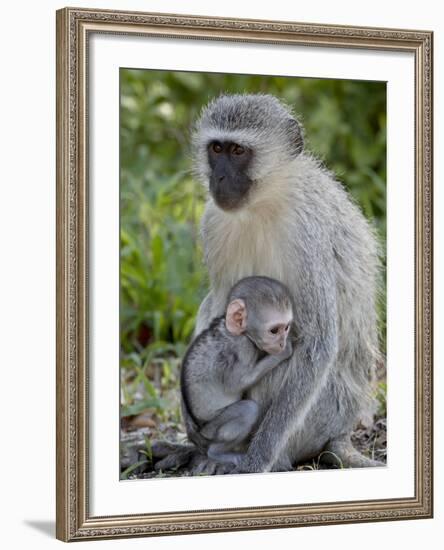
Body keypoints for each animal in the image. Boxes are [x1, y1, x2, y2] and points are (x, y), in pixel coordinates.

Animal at [179, 278, 294, 468]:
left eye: (286, 328)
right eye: (274, 331)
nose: (282, 343)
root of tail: (201, 430)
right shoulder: (243, 347)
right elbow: (238, 383)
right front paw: (283, 353)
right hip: (212, 429)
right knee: (248, 409)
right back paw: (217, 452)